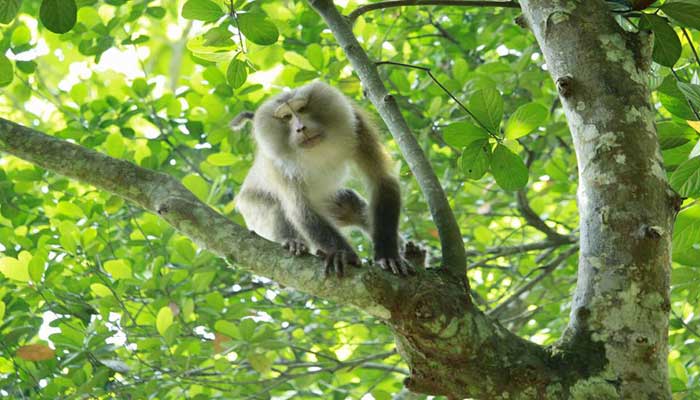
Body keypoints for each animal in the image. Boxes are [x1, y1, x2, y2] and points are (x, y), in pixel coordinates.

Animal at [232, 79, 412, 276]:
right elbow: (301, 208)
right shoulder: (275, 161)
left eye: (302, 109)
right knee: (275, 205)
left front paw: (388, 254)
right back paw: (293, 242)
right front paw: (341, 253)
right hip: (250, 206)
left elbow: (381, 180)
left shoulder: (357, 124)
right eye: (286, 117)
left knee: (350, 203)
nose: (300, 128)